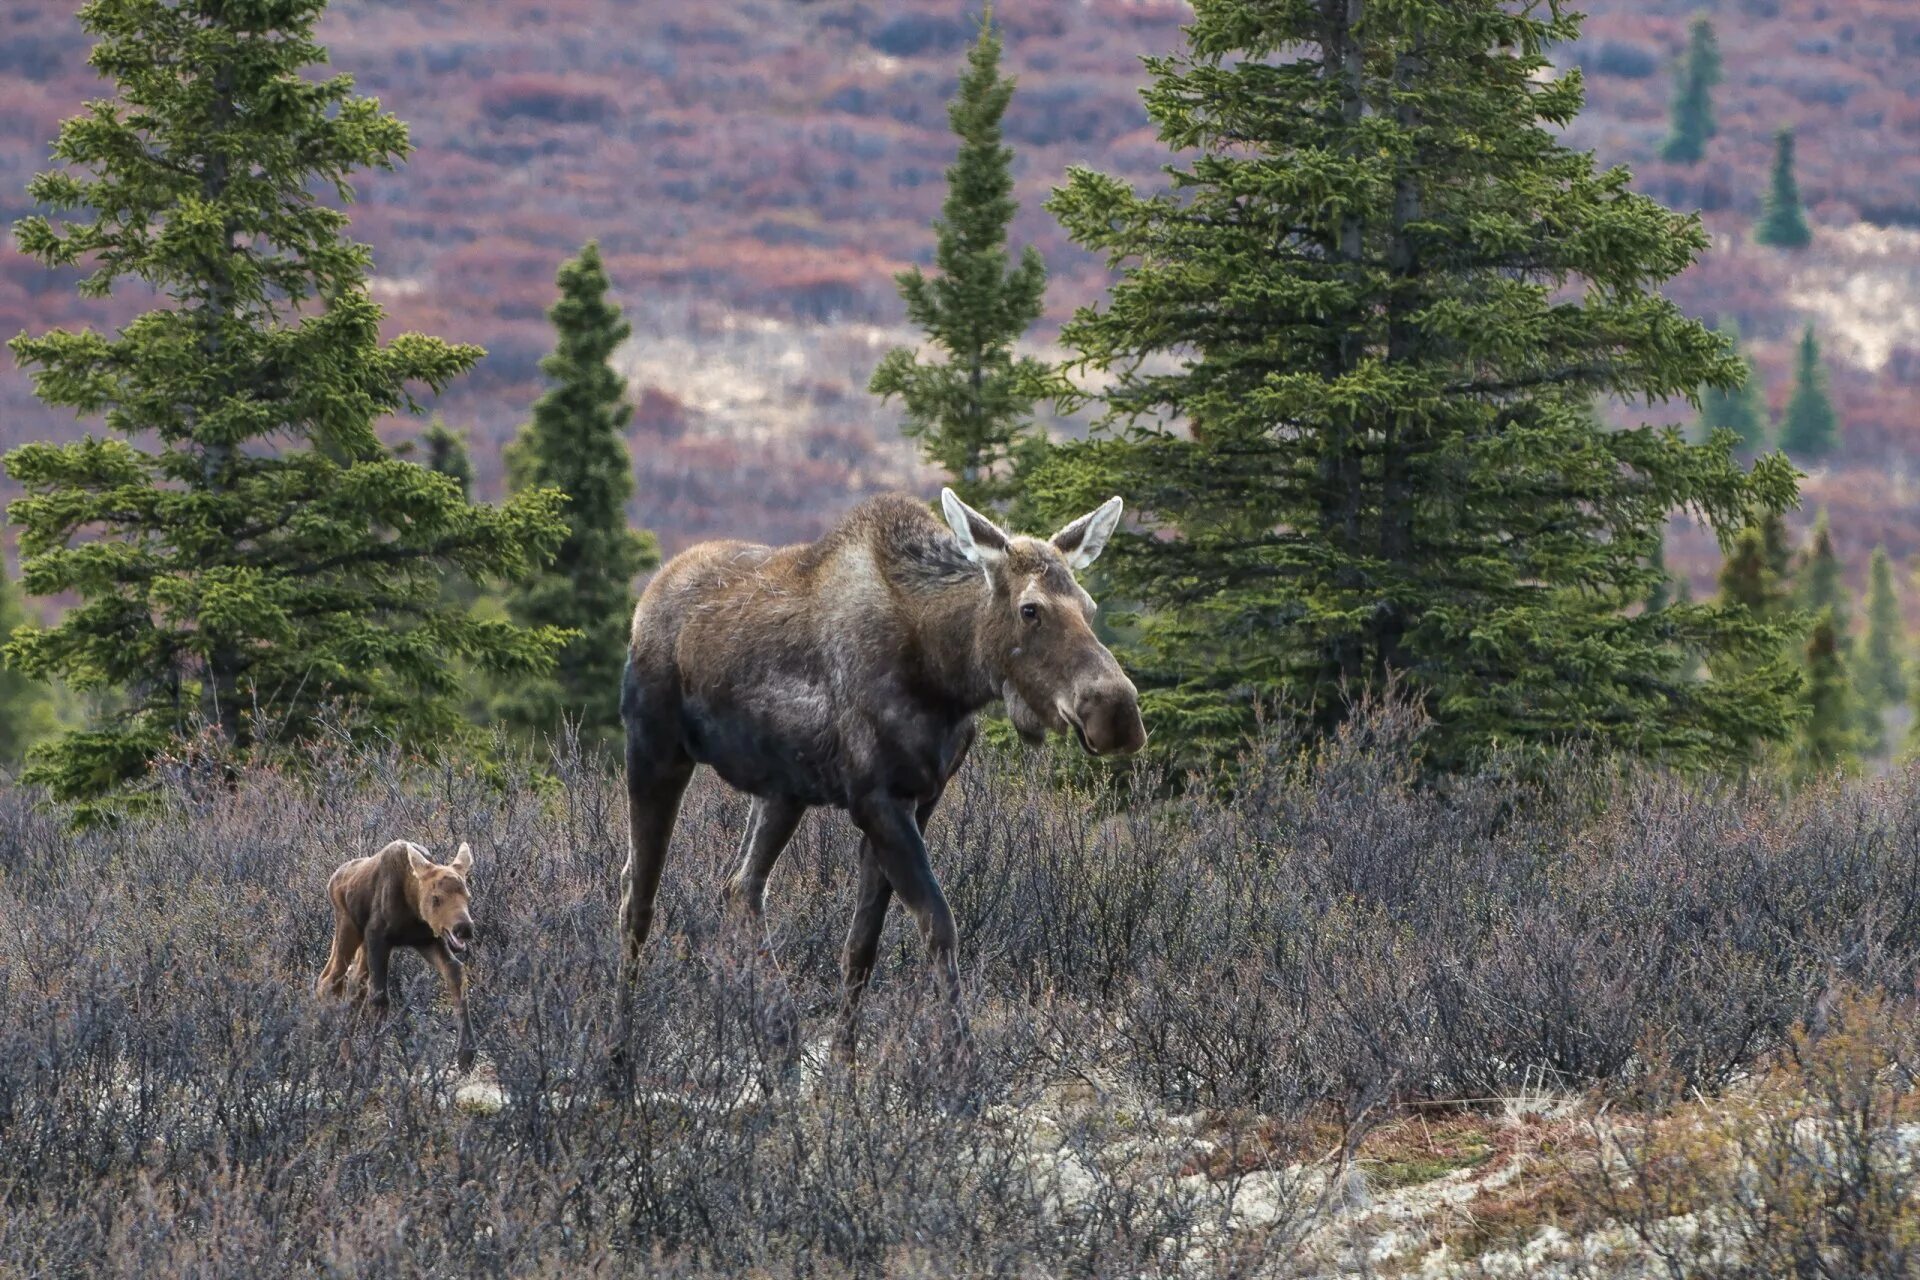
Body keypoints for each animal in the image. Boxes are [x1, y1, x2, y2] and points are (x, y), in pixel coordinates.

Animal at [316, 840, 478, 1074]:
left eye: (468, 896)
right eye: (436, 898)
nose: (464, 928)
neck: (412, 907)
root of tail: (332, 880)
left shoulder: (427, 939)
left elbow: (455, 972)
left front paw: (466, 1055)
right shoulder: (378, 937)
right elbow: (380, 998)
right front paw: (373, 1068)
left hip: (362, 942)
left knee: (354, 982)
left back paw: (343, 1060)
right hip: (348, 926)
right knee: (329, 980)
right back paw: (335, 1052)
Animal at [622, 485, 1144, 1059]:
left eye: (1090, 607)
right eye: (1031, 609)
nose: (1117, 711)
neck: (945, 673)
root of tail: (648, 598)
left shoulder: (920, 797)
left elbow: (862, 945)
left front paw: (842, 1068)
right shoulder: (878, 799)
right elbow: (938, 925)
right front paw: (961, 1063)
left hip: (781, 792)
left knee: (739, 888)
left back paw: (780, 1037)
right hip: (654, 751)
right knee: (638, 895)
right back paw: (618, 1045)